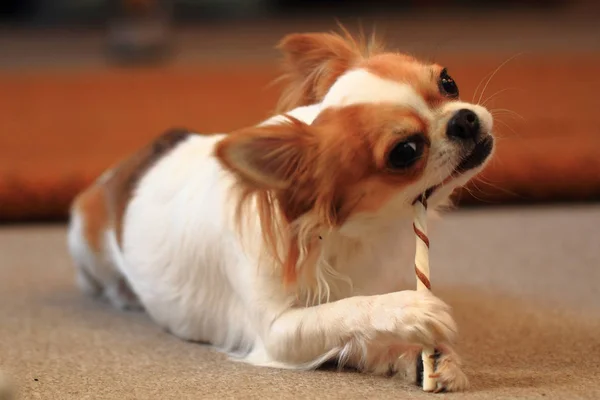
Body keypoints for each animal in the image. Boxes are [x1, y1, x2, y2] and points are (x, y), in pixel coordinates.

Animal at [68, 30, 494, 390]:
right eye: (405, 152)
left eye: (448, 82)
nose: (464, 119)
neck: (360, 232)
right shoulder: (279, 332)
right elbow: (345, 311)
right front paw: (409, 310)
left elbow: (361, 335)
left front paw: (430, 361)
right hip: (87, 246)